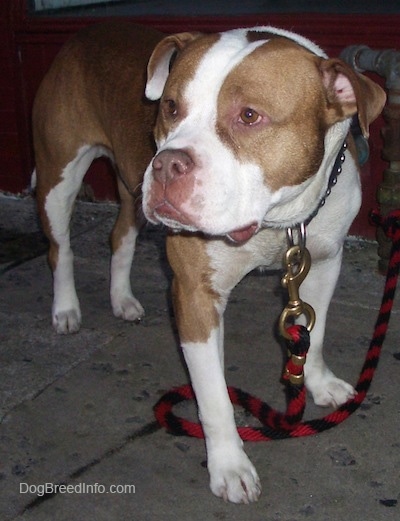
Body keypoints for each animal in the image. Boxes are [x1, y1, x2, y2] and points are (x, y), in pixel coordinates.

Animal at [32, 21, 386, 504]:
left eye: (249, 116)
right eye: (170, 107)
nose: (166, 164)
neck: (278, 220)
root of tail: (88, 32)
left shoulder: (325, 262)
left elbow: (313, 332)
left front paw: (318, 382)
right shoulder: (196, 294)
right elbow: (214, 395)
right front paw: (230, 465)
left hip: (130, 186)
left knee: (120, 234)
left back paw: (122, 299)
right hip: (59, 177)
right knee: (59, 247)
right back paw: (66, 308)